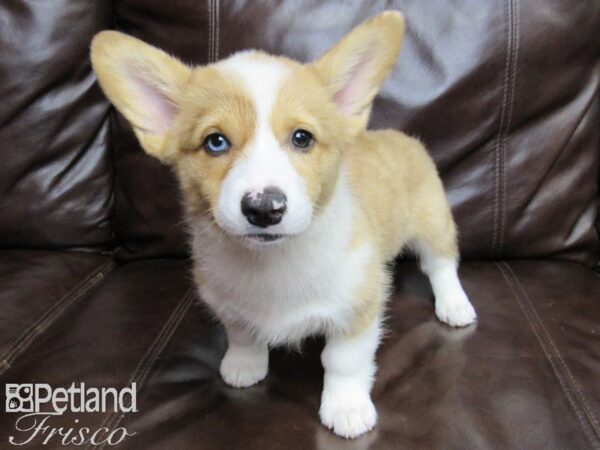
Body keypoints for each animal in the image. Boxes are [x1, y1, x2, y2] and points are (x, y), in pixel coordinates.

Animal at [91, 11, 476, 440]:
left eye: (302, 138)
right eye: (215, 142)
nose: (264, 209)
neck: (273, 261)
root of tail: (398, 134)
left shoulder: (358, 308)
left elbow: (344, 360)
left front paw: (346, 408)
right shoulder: (228, 302)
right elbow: (242, 334)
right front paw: (244, 366)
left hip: (433, 222)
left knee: (441, 264)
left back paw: (454, 305)